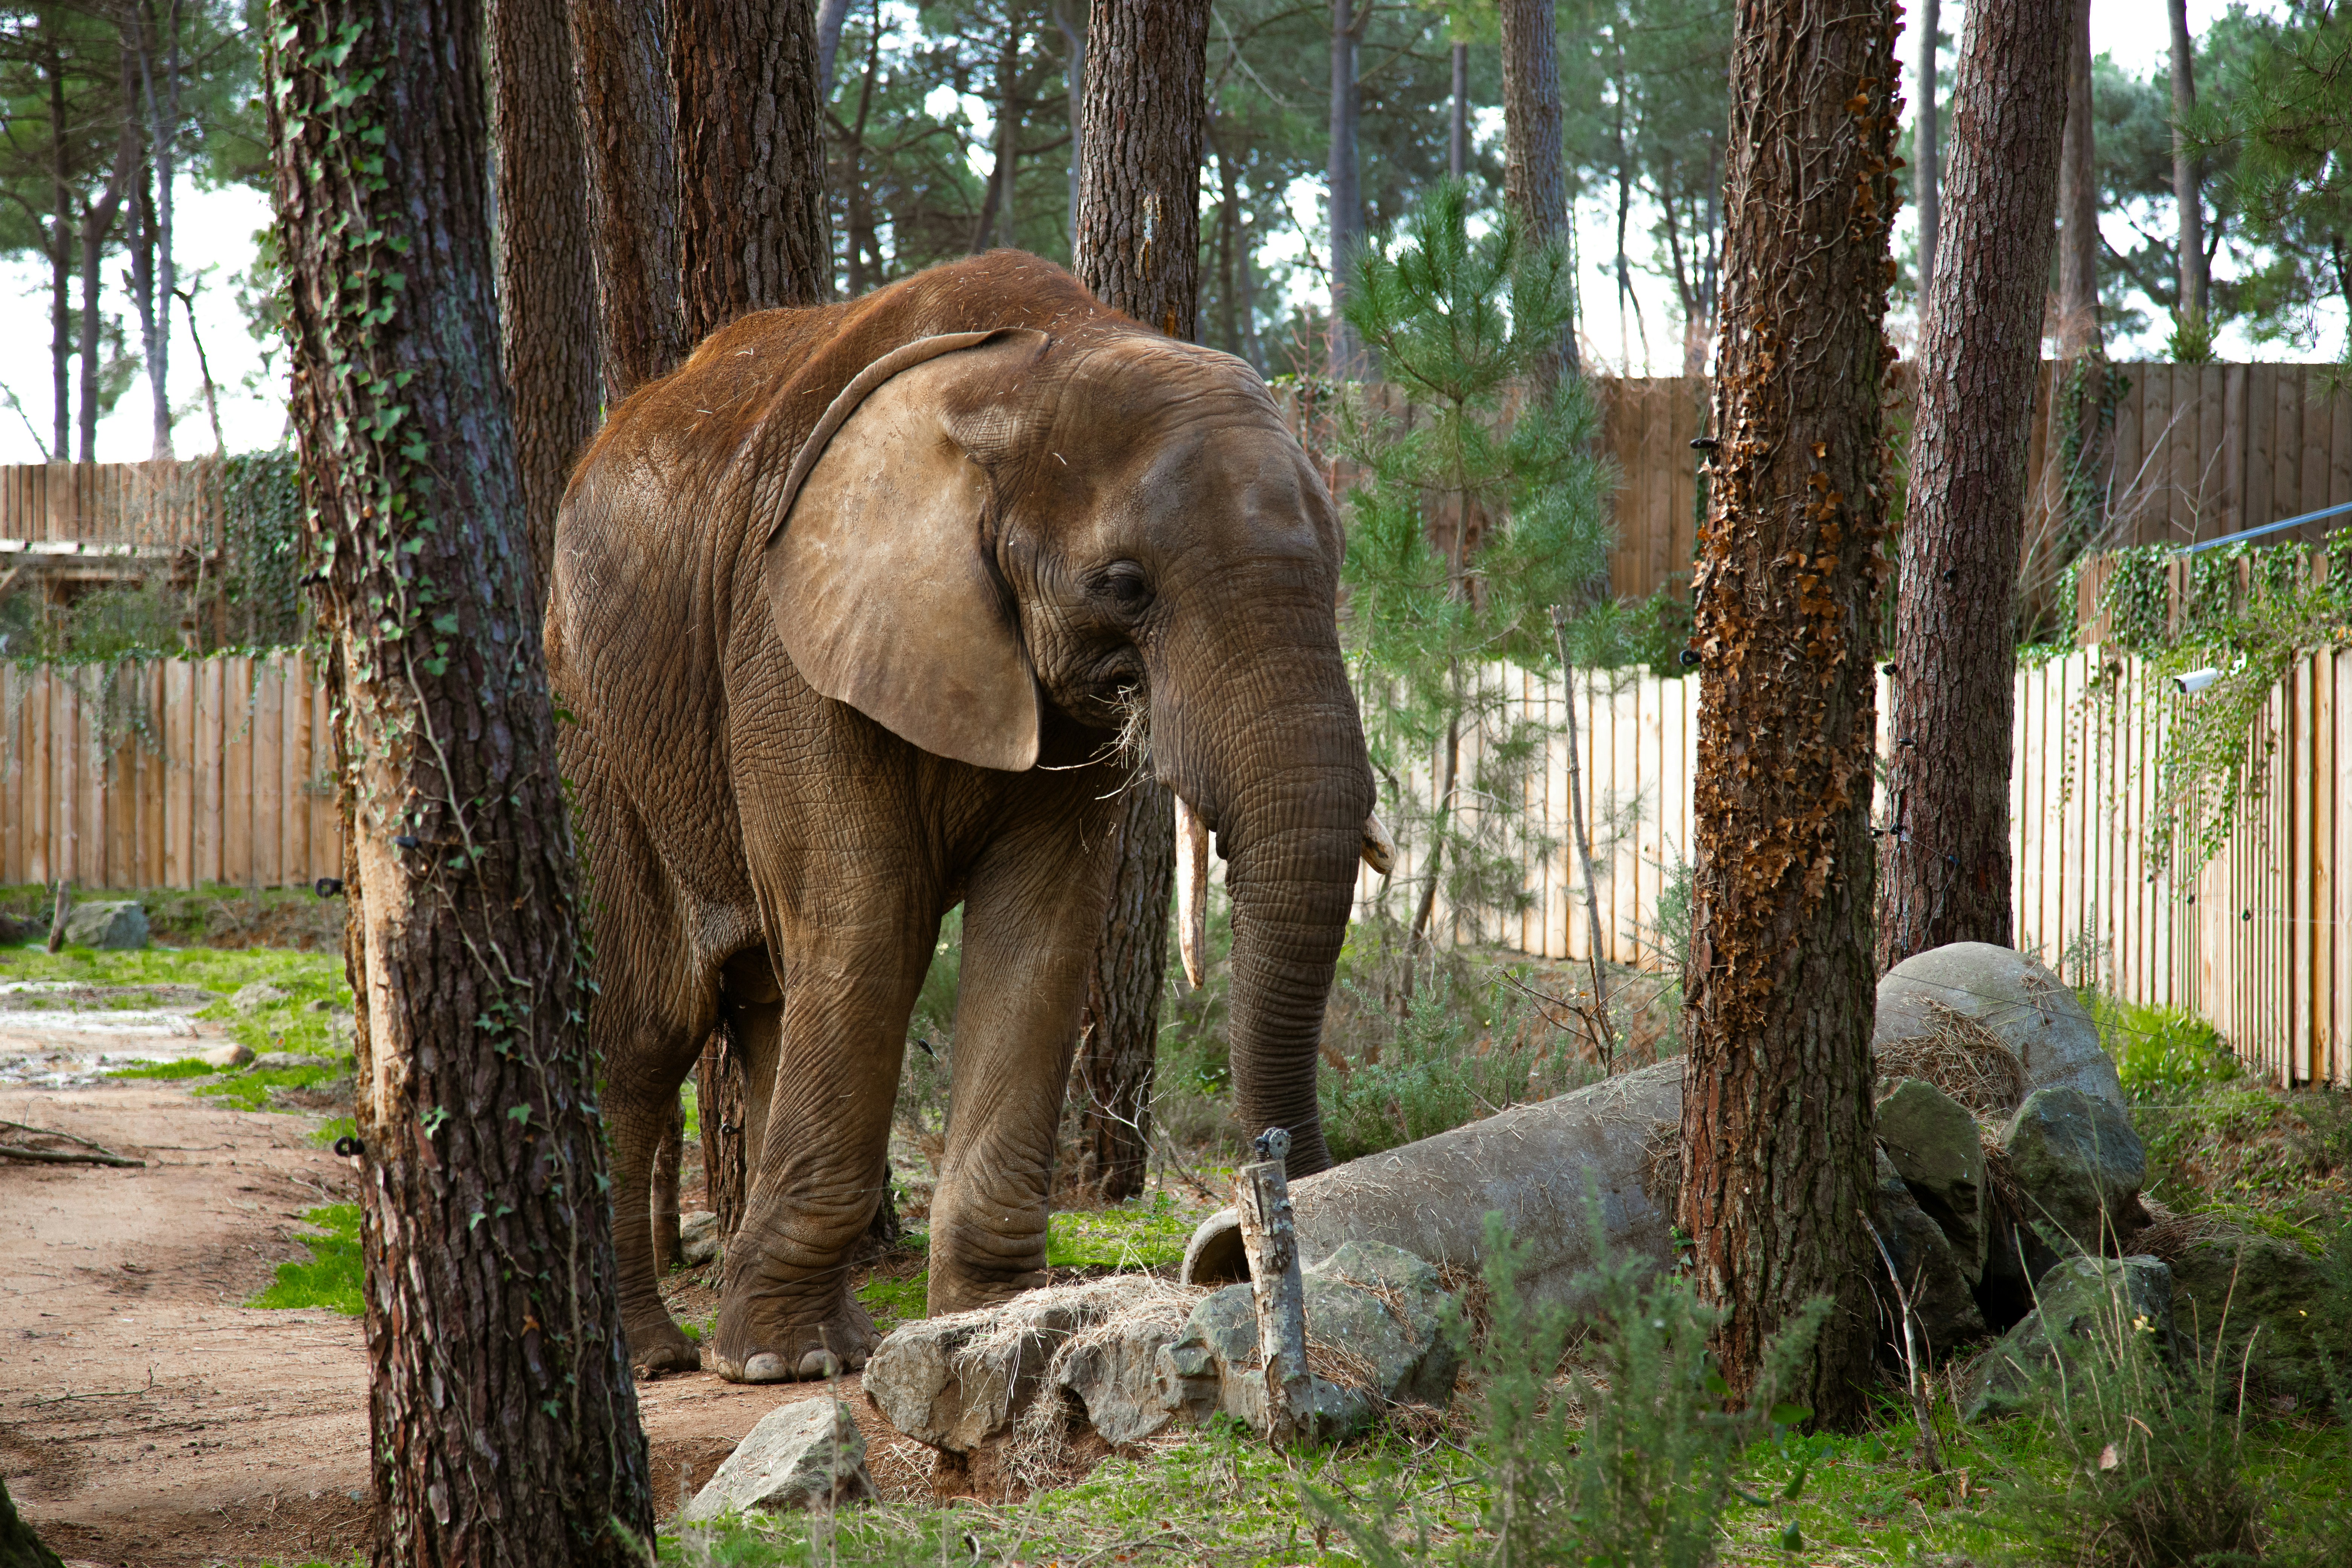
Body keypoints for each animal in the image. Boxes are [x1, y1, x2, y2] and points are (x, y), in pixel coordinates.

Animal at [547, 250, 1383, 1384]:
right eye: (1124, 585)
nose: (1245, 1230)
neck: (1038, 362)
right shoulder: (787, 633)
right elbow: (871, 925)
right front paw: (776, 1366)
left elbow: (1041, 933)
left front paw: (987, 1320)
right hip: (595, 723)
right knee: (650, 1030)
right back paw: (658, 1356)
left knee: (768, 1002)